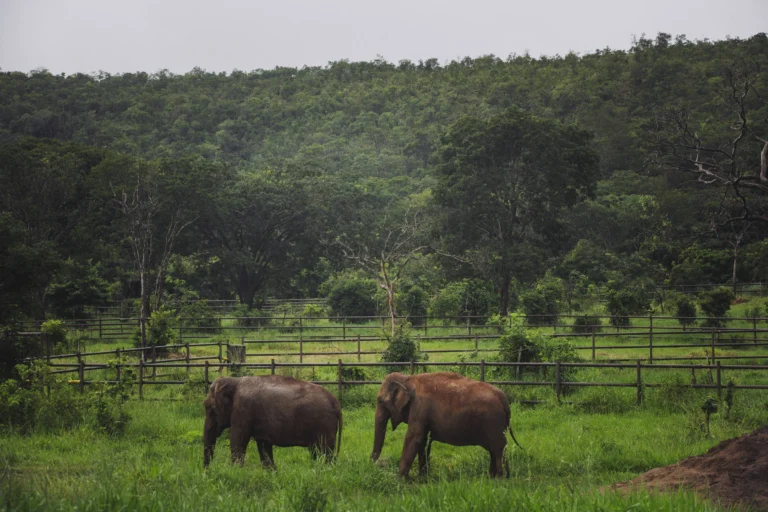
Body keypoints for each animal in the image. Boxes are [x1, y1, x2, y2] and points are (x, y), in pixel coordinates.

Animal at [203, 375, 342, 468]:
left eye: (211, 410)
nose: (207, 471)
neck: (234, 381)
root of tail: (334, 400)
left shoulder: (243, 410)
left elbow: (237, 440)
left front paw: (236, 471)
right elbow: (263, 445)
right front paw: (272, 473)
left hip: (324, 424)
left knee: (325, 452)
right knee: (316, 451)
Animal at [370, 371, 521, 478]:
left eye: (380, 401)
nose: (375, 465)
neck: (408, 378)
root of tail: (503, 398)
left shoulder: (419, 407)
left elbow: (414, 438)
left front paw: (400, 479)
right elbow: (423, 441)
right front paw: (422, 477)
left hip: (493, 423)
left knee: (498, 448)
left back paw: (499, 479)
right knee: (495, 449)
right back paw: (494, 477)